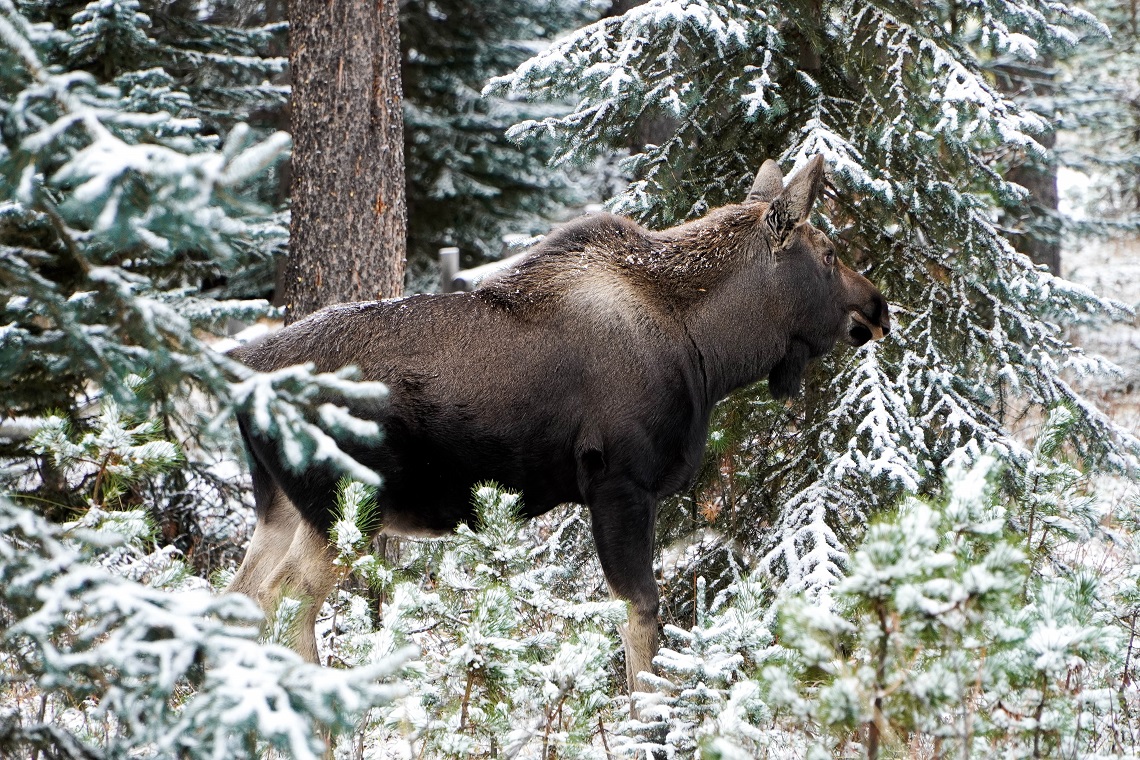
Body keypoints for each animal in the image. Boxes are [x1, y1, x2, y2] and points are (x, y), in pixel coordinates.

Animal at [229, 157, 889, 692]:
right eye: (829, 255)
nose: (878, 307)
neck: (711, 352)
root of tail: (243, 375)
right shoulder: (620, 482)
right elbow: (642, 618)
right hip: (342, 502)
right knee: (287, 599)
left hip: (280, 505)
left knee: (242, 596)